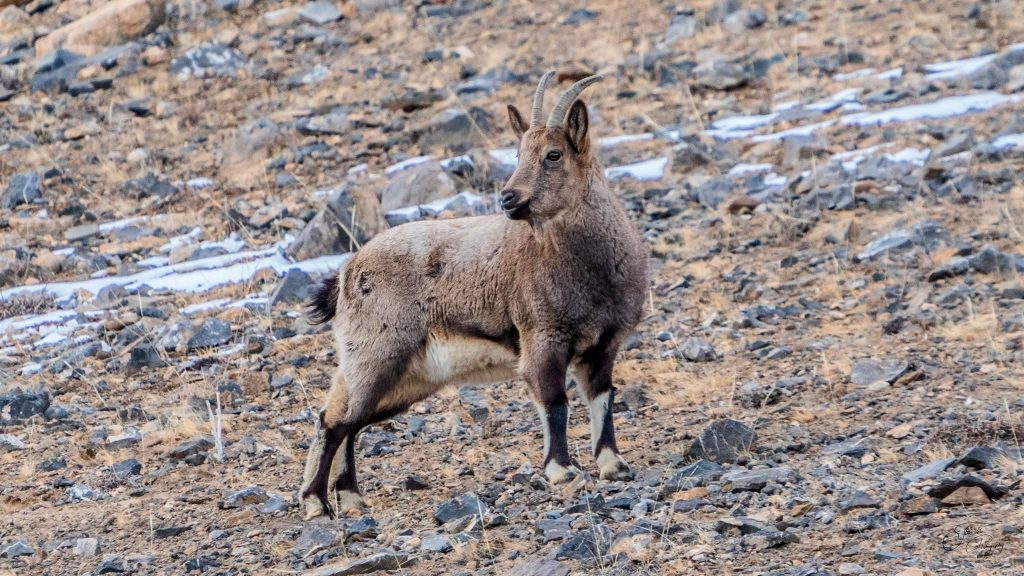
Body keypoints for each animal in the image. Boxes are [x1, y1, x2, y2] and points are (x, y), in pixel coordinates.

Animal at [299, 71, 648, 519]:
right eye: (518, 152)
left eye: (553, 155)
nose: (508, 198)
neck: (589, 268)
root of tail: (346, 273)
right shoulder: (542, 338)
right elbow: (554, 401)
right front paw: (561, 470)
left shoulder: (604, 345)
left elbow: (603, 399)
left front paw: (613, 464)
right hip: (377, 355)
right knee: (334, 421)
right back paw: (317, 503)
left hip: (404, 376)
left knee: (349, 420)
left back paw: (351, 496)